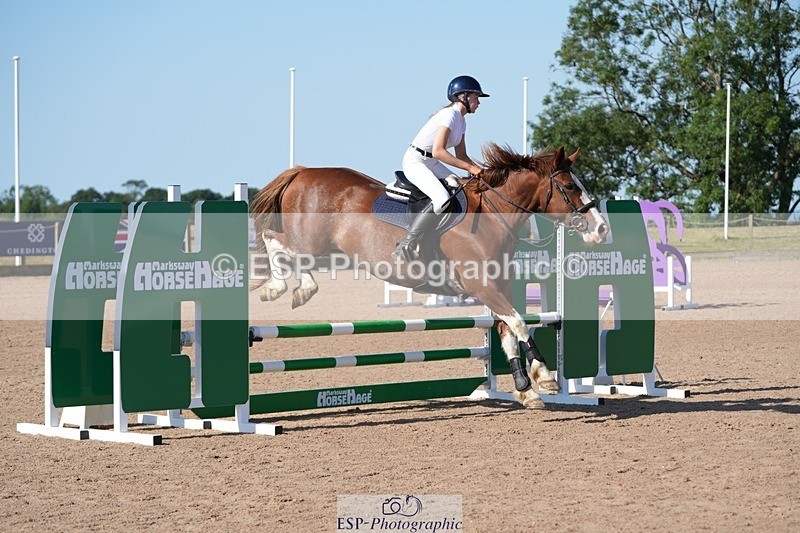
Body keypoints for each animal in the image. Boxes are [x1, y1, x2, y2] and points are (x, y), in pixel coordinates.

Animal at [250, 143, 608, 409]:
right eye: (570, 186)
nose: (602, 229)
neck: (492, 215)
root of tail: (302, 172)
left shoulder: (499, 288)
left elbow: (508, 330)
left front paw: (524, 388)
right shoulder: (483, 286)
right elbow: (520, 324)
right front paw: (544, 375)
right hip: (311, 242)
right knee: (274, 241)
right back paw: (284, 288)